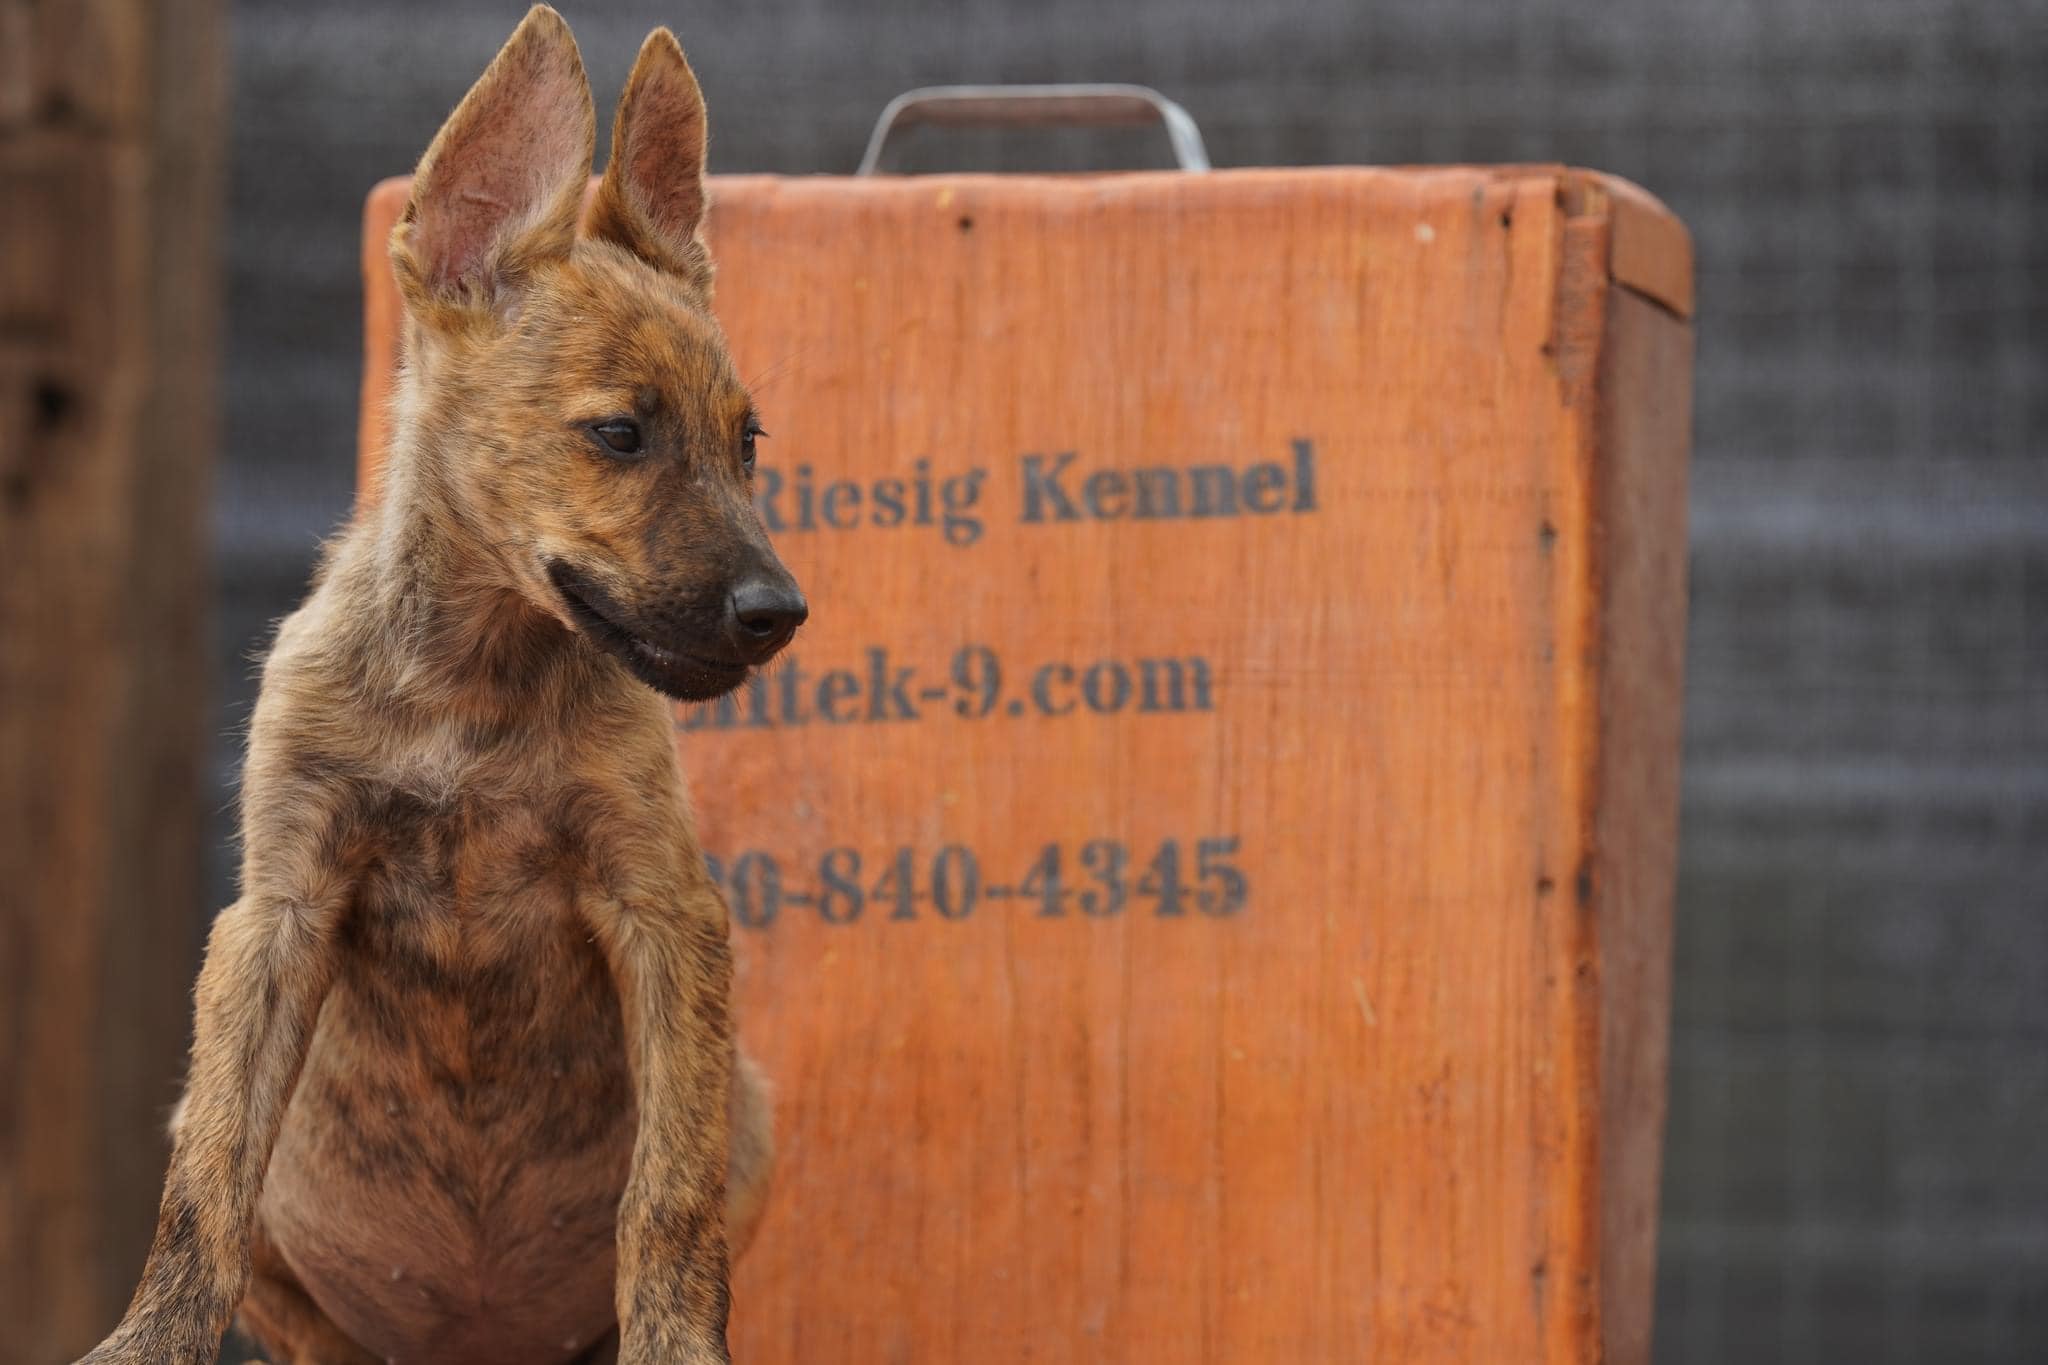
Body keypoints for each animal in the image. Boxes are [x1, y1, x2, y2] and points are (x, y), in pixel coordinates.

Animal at [74, 5, 790, 1358]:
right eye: (619, 435)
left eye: (747, 444)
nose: (778, 614)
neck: (473, 696)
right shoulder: (278, 912)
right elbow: (206, 1180)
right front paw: (150, 1340)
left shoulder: (661, 913)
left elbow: (664, 1197)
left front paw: (678, 1346)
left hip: (756, 1121)